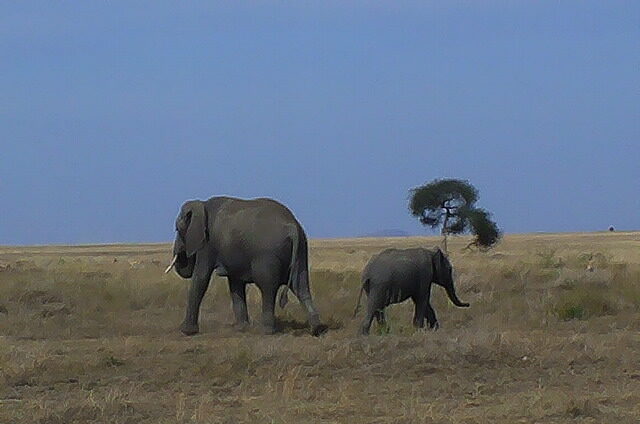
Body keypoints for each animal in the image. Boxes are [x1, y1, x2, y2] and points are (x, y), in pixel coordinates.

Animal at [165, 196, 328, 336]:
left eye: (177, 229)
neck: (202, 204)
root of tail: (292, 226)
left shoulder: (207, 244)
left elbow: (201, 278)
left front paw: (187, 331)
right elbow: (235, 284)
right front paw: (241, 328)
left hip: (267, 255)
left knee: (267, 287)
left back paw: (266, 331)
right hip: (302, 249)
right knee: (301, 286)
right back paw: (317, 329)